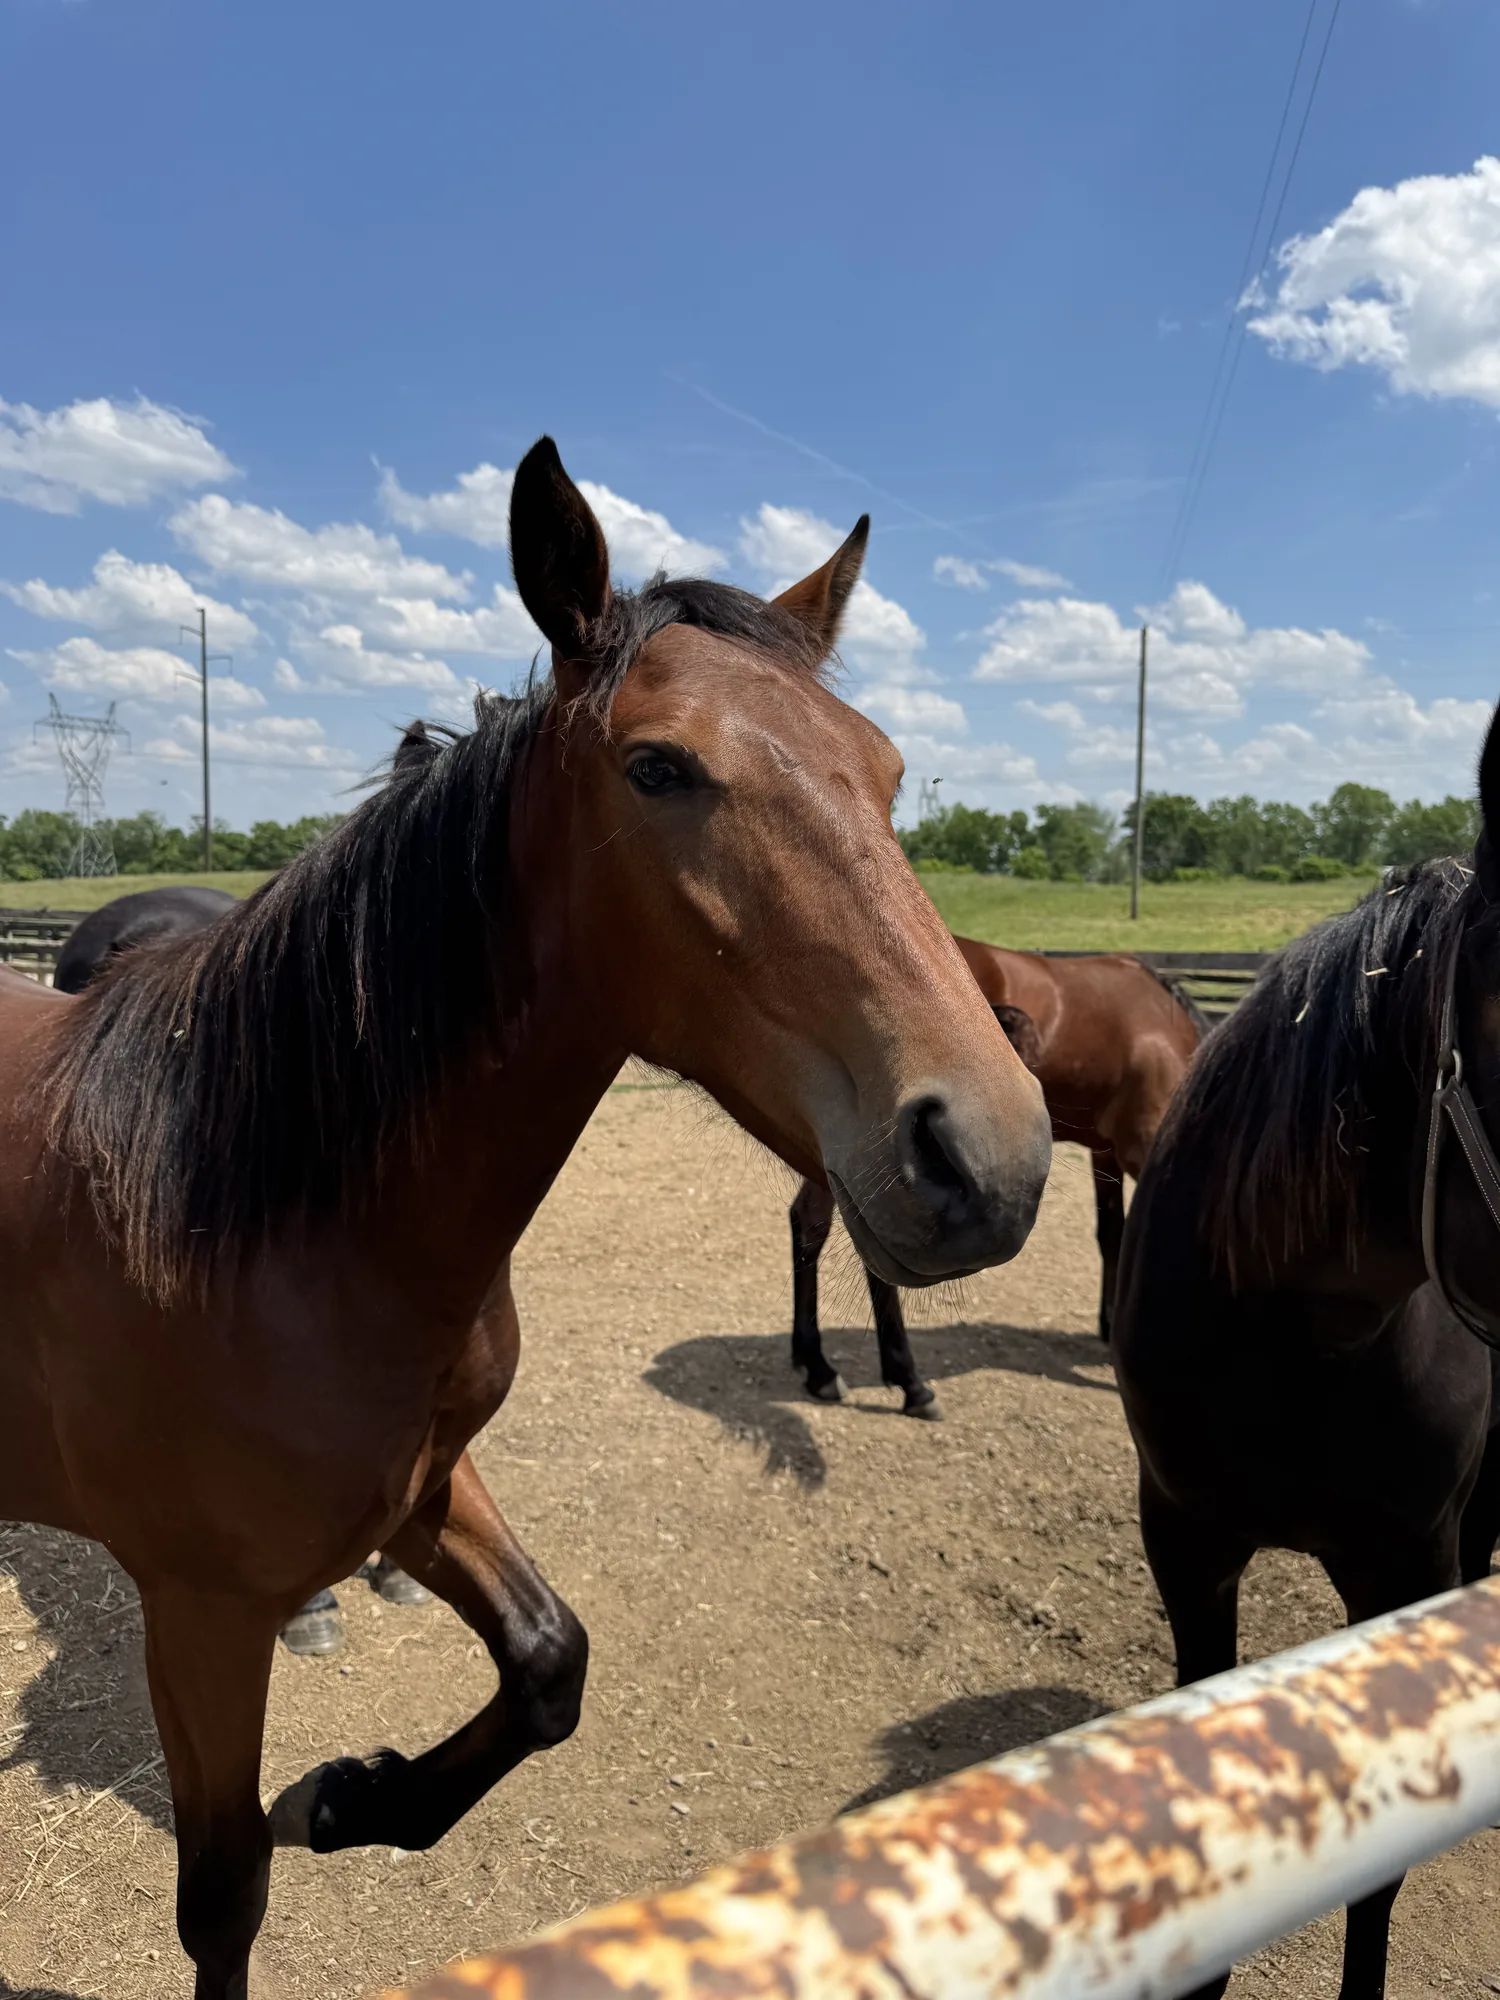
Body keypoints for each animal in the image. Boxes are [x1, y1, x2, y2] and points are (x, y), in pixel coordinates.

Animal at [789, 941, 1203, 1415]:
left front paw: (1108, 1321)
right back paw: (879, 1375)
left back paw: (822, 1361)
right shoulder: (1144, 1141)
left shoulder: (1106, 1151)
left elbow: (1111, 1234)